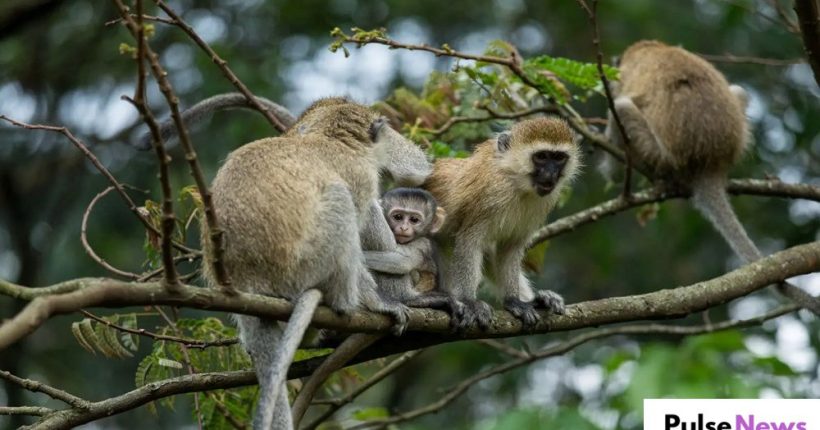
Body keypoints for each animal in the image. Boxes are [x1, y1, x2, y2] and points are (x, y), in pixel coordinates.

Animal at [200, 97, 434, 430]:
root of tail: (248, 279)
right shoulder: (359, 176)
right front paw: (380, 303)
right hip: (305, 267)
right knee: (342, 201)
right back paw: (355, 302)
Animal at [288, 188, 463, 427]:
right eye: (398, 216)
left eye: (414, 220)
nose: (403, 228)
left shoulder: (420, 244)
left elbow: (399, 262)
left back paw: (410, 300)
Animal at [422, 117, 582, 330]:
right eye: (541, 157)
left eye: (558, 158)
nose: (550, 174)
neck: (515, 181)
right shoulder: (488, 195)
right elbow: (469, 241)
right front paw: (469, 302)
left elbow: (509, 249)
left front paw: (515, 301)